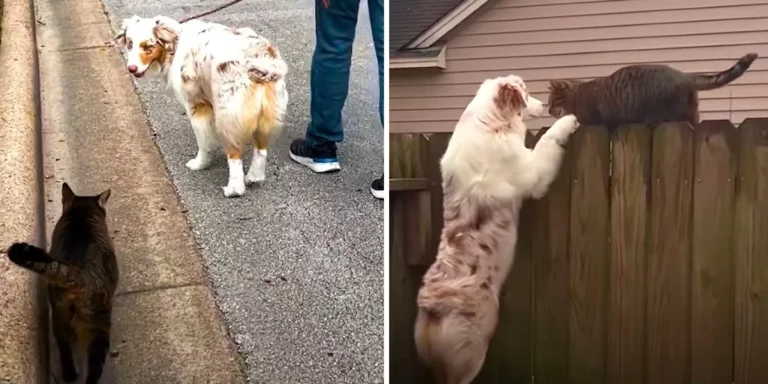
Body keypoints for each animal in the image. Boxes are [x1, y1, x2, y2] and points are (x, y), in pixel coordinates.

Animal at [6, 183, 118, 384]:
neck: (81, 211)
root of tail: (76, 272)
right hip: (99, 324)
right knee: (94, 367)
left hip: (59, 316)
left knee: (64, 346)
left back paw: (70, 374)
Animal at [115, 15, 290, 196]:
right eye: (129, 44)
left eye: (148, 46)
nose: (131, 68)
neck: (174, 46)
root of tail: (261, 62)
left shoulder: (196, 106)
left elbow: (203, 141)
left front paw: (200, 163)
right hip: (268, 115)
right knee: (261, 149)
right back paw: (254, 177)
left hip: (227, 118)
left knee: (234, 155)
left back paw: (233, 189)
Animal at [412, 73, 580, 382]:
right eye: (525, 91)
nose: (542, 105)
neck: (489, 122)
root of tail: (433, 312)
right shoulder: (532, 171)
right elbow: (547, 141)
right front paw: (568, 120)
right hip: (471, 355)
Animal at [548, 53, 760, 127]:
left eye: (552, 102)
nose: (549, 111)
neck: (577, 96)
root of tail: (683, 75)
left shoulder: (593, 119)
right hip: (693, 112)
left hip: (666, 112)